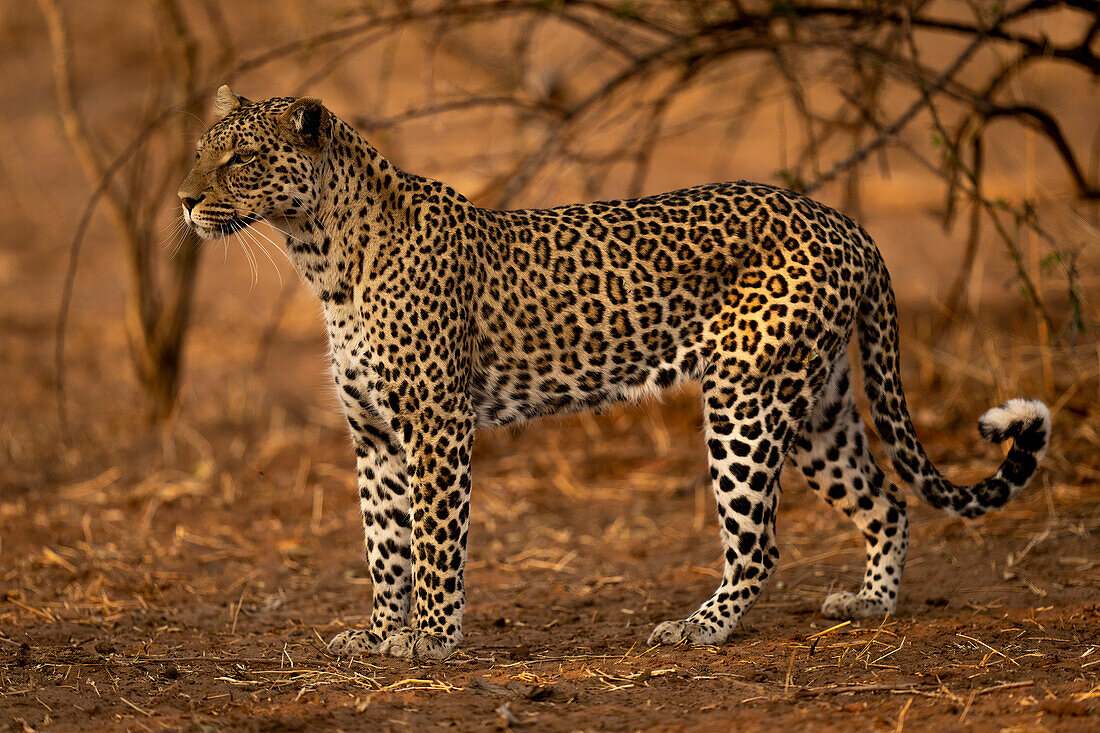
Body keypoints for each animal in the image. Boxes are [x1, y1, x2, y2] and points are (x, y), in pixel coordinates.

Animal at [178, 88, 1047, 660]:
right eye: (197, 151)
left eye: (242, 158)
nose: (184, 200)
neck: (321, 257)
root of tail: (847, 223)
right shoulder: (373, 436)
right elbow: (383, 544)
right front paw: (378, 634)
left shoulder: (435, 427)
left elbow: (434, 539)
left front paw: (431, 640)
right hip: (816, 406)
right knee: (887, 500)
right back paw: (869, 604)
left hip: (744, 402)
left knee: (761, 541)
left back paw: (698, 628)